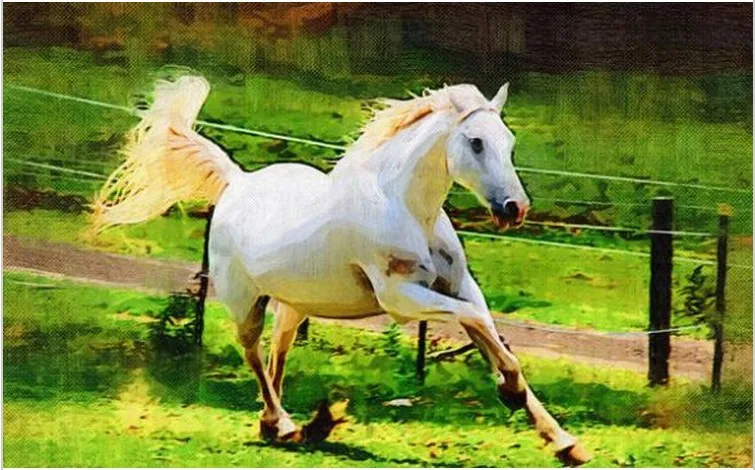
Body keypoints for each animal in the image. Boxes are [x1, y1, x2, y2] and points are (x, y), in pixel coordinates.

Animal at [92, 76, 590, 465]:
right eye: (476, 142)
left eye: (509, 142)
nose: (515, 209)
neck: (406, 208)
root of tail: (238, 181)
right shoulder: (401, 298)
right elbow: (480, 326)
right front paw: (510, 392)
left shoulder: (458, 286)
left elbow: (488, 329)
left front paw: (564, 442)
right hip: (243, 301)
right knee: (253, 354)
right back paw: (287, 425)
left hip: (294, 306)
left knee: (276, 356)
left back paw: (281, 426)